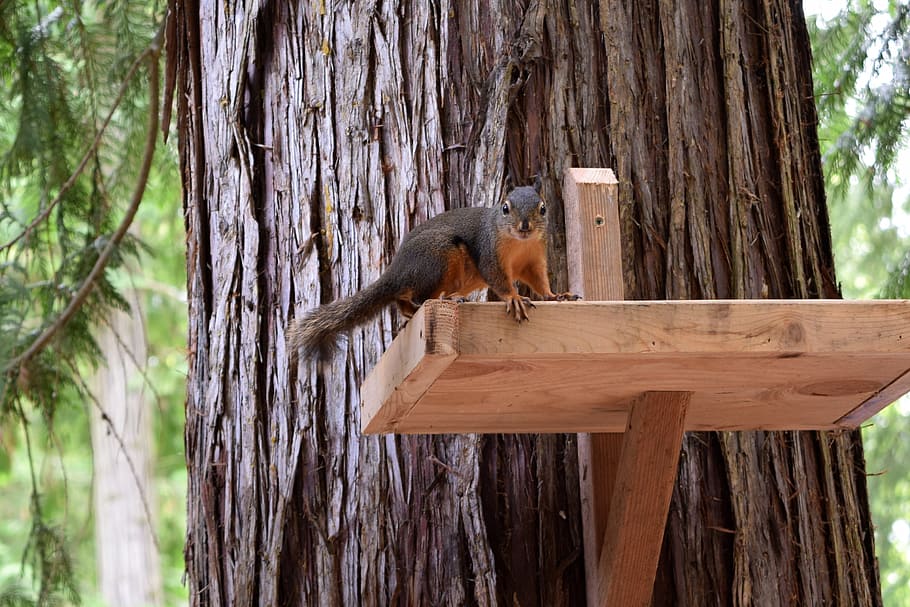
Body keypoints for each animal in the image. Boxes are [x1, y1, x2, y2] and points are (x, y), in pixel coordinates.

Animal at [288, 178, 579, 357]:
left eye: (543, 208)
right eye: (505, 207)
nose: (525, 227)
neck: (519, 244)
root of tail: (396, 270)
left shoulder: (533, 260)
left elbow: (540, 281)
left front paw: (557, 295)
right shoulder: (490, 254)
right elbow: (498, 278)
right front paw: (514, 298)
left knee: (402, 301)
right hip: (440, 256)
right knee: (417, 297)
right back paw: (439, 302)